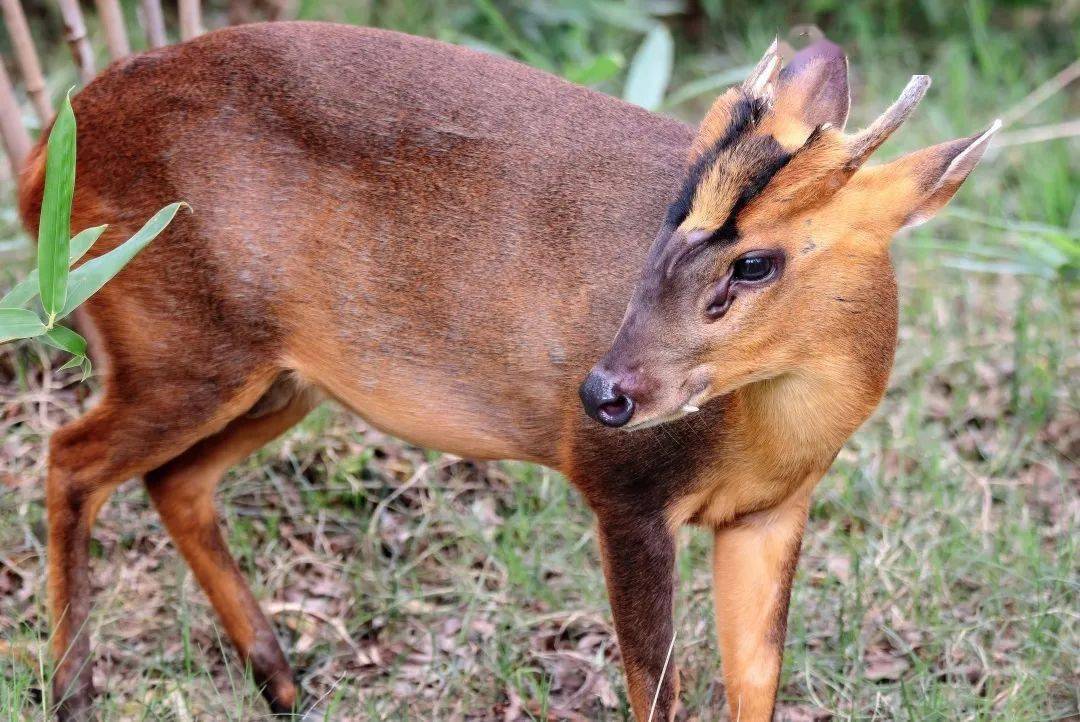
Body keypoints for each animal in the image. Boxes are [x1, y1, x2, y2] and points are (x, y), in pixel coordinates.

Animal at [19, 22, 993, 720]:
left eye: (756, 262)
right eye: (666, 218)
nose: (602, 392)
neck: (767, 434)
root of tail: (40, 161)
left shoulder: (770, 511)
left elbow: (755, 683)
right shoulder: (624, 490)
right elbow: (659, 693)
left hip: (275, 378)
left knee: (174, 482)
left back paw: (283, 683)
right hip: (176, 340)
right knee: (71, 458)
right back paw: (74, 694)